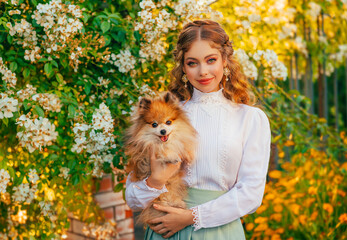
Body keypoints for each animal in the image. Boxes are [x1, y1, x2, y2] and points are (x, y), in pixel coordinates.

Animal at [125, 91, 197, 223]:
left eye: (168, 122)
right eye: (154, 124)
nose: (163, 131)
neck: (165, 143)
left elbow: (183, 145)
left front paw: (189, 154)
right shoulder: (147, 153)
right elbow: (162, 153)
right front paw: (171, 156)